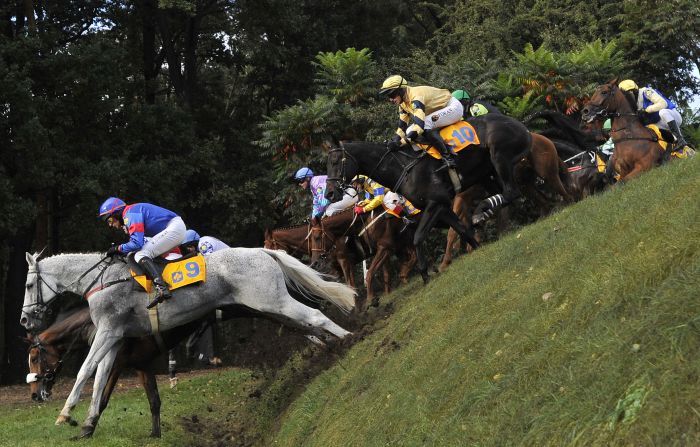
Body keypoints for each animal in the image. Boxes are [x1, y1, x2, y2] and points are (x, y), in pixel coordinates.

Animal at [19, 248, 352, 440]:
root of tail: (263, 251)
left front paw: (65, 414)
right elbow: (100, 379)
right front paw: (88, 424)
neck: (102, 281)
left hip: (272, 301)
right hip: (265, 306)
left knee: (316, 317)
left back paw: (352, 339)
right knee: (305, 325)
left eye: (28, 284)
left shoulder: (108, 332)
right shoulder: (114, 337)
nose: (24, 319)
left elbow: (86, 371)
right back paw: (328, 349)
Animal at [326, 115, 532, 284]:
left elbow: (418, 237)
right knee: (508, 195)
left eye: (335, 162)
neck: (402, 168)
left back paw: (481, 210)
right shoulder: (442, 206)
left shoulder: (435, 203)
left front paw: (425, 274)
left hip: (499, 157)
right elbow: (462, 229)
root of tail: (519, 124)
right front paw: (477, 246)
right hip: (487, 173)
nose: (329, 194)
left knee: (511, 192)